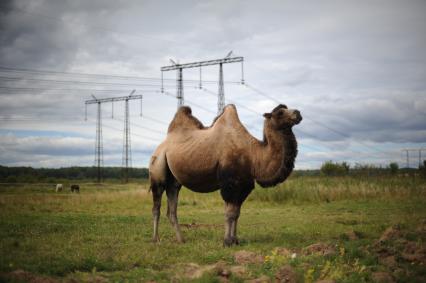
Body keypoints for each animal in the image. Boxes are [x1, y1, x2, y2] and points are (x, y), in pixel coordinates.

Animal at [148, 103, 302, 246]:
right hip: (157, 170)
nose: (298, 113)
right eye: (280, 112)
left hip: (174, 181)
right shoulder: (230, 184)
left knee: (172, 209)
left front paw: (235, 240)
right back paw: (155, 239)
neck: (253, 154)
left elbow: (237, 213)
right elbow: (230, 213)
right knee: (156, 207)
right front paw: (227, 241)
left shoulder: (244, 185)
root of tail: (161, 146)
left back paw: (181, 240)